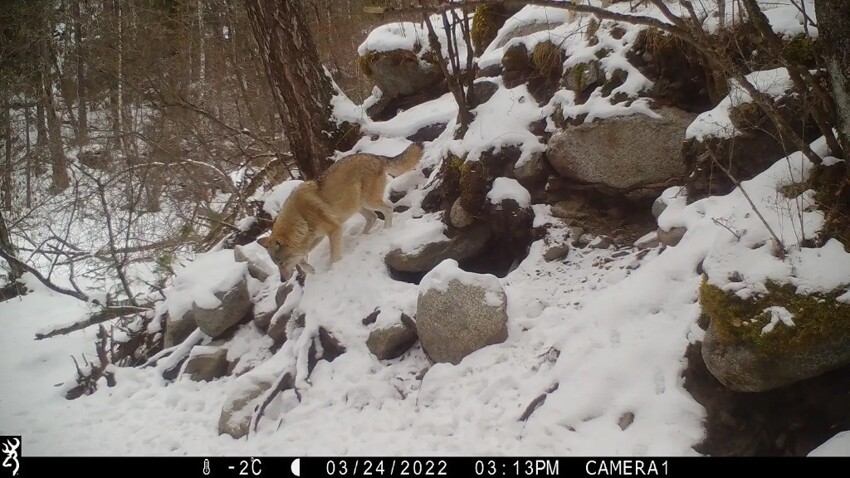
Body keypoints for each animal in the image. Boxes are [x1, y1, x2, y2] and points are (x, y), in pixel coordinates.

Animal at [255, 142, 420, 280]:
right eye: (276, 265)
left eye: (281, 263)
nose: (283, 280)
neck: (300, 218)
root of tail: (375, 156)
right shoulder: (315, 237)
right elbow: (301, 259)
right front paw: (310, 269)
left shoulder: (334, 229)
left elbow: (333, 255)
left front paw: (333, 268)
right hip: (358, 205)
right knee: (372, 217)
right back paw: (362, 237)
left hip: (368, 201)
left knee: (388, 209)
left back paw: (386, 230)